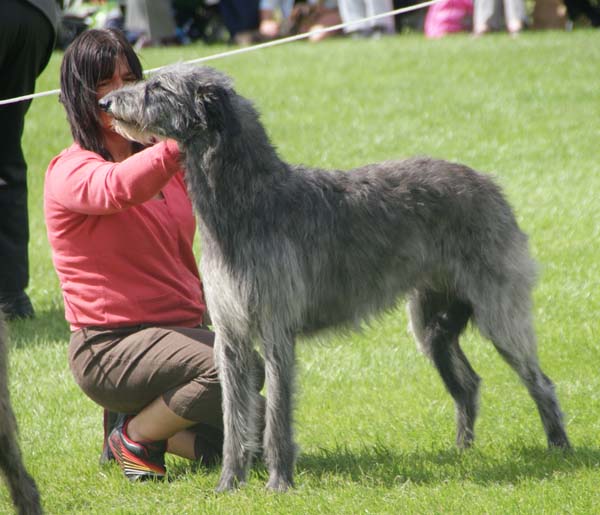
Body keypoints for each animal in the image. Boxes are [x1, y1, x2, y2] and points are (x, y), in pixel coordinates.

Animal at [102, 64, 572, 492]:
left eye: (158, 87)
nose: (105, 103)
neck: (248, 199)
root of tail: (488, 182)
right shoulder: (231, 338)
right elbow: (235, 419)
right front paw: (228, 485)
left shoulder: (276, 332)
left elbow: (277, 417)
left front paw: (279, 484)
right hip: (431, 324)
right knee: (468, 384)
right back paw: (463, 451)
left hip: (499, 310)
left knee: (540, 381)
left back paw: (560, 447)